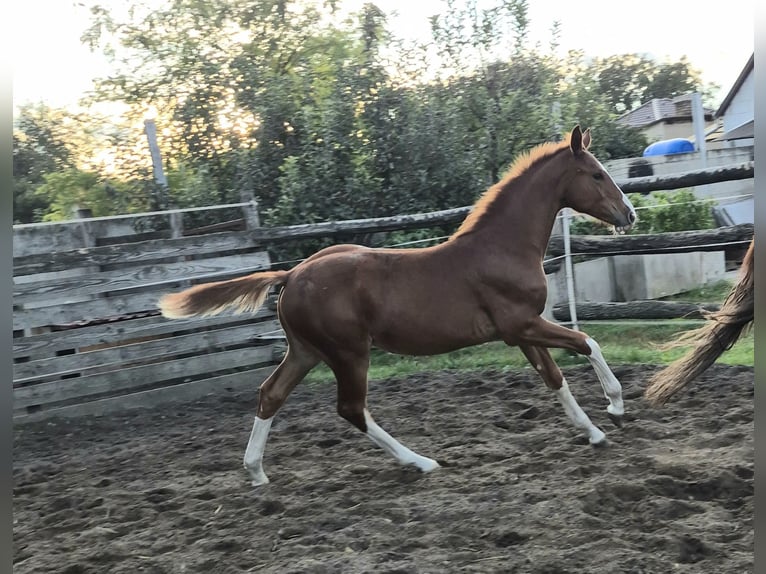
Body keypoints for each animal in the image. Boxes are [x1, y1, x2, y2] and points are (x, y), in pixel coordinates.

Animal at [159, 125, 637, 486]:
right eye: (596, 174)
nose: (629, 214)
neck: (501, 248)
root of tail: (291, 275)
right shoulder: (521, 324)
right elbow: (586, 342)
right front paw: (615, 409)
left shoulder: (520, 331)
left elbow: (554, 377)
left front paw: (594, 433)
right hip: (349, 352)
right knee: (350, 409)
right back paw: (421, 462)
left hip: (306, 351)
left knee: (270, 394)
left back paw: (256, 473)